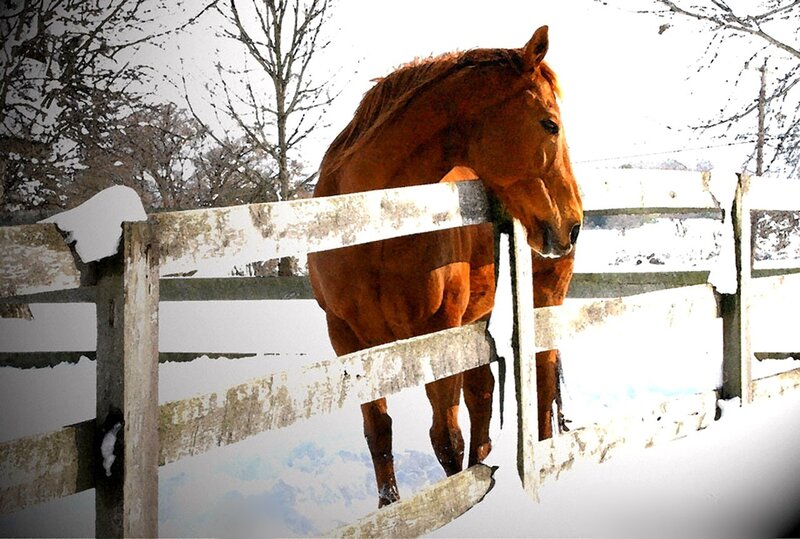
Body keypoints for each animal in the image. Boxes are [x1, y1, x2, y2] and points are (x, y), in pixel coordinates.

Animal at [307, 26, 582, 507]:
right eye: (550, 123)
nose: (573, 223)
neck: (370, 224)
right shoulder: (347, 341)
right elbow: (379, 432)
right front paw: (391, 507)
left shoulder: (439, 330)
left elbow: (446, 437)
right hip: (478, 319)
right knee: (484, 393)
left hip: (542, 300)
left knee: (543, 378)